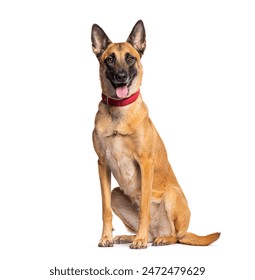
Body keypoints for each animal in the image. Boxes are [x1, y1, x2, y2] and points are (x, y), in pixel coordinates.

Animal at [90, 19, 220, 248]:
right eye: (110, 60)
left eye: (130, 58)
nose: (121, 77)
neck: (119, 112)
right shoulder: (102, 164)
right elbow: (105, 209)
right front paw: (106, 238)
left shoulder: (145, 163)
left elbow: (144, 208)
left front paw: (140, 241)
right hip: (116, 193)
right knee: (151, 231)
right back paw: (131, 236)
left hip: (171, 194)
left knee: (177, 236)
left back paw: (161, 238)